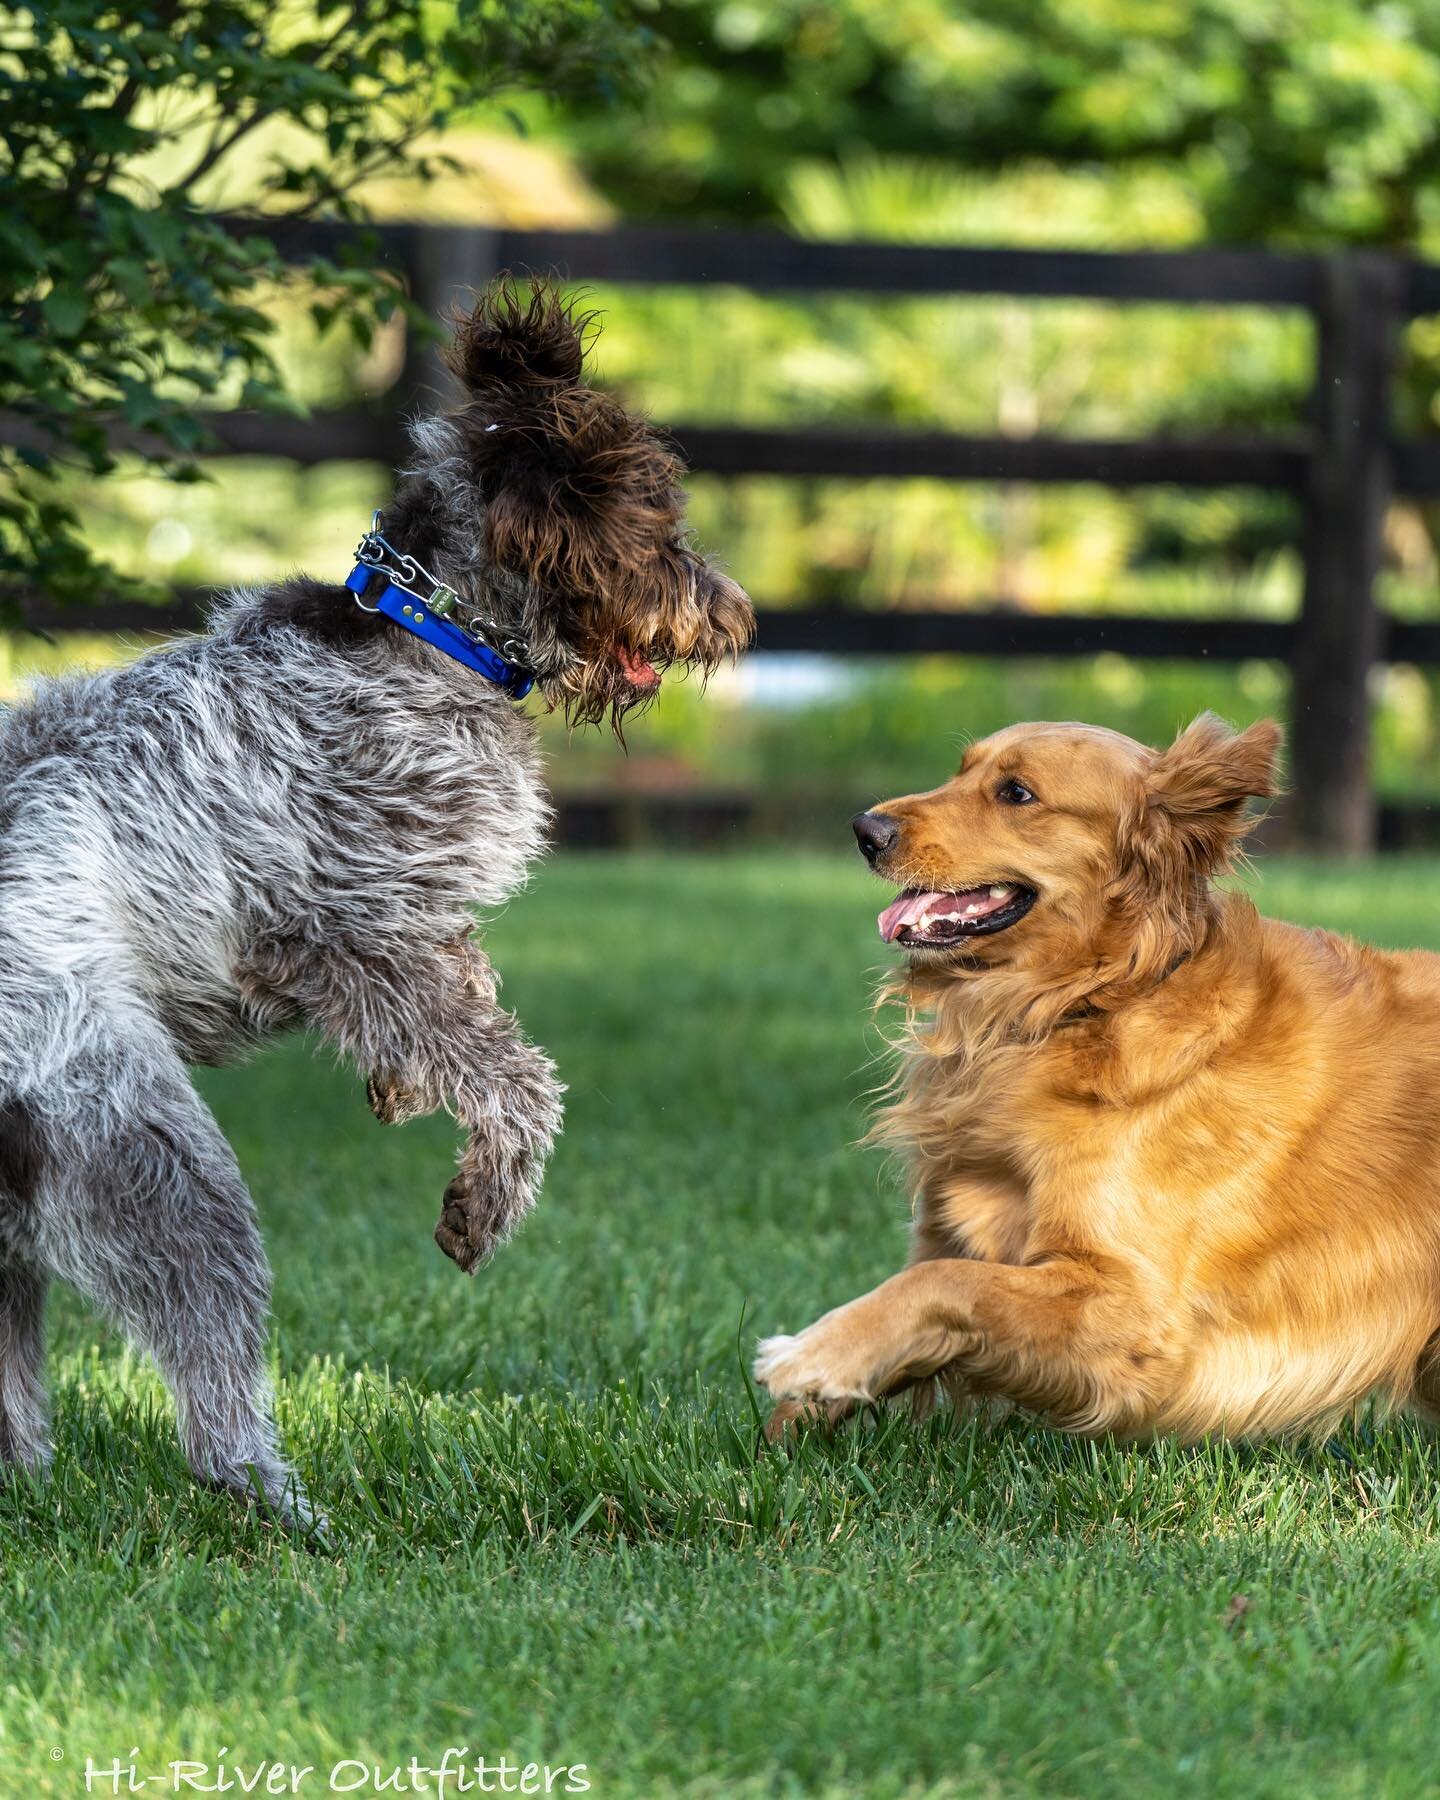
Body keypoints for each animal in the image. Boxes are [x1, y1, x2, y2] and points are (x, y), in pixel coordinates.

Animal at [0, 277, 752, 1519]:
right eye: (655, 520)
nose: (733, 612)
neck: (425, 635)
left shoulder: (407, 936)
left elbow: (471, 993)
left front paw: (404, 1087)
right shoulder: (352, 937)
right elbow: (519, 1081)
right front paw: (485, 1195)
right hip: (159, 1163)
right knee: (217, 1394)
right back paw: (281, 1507)